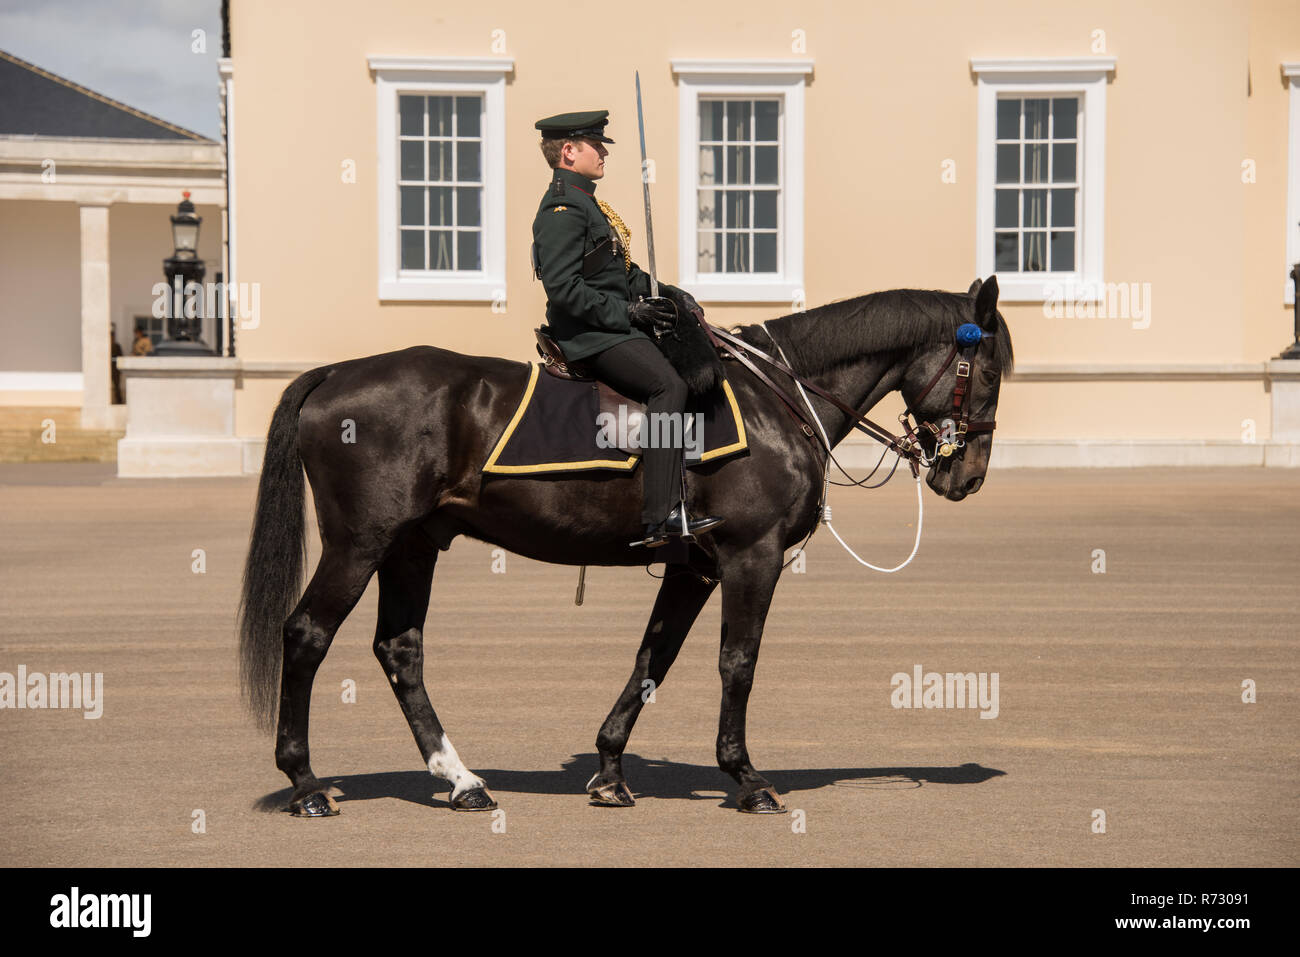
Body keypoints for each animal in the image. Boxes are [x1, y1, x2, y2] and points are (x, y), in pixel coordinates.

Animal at [241, 274, 1013, 816]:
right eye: (991, 368)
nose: (968, 475)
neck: (774, 397)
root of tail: (337, 371)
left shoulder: (694, 567)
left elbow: (653, 659)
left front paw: (611, 769)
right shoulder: (751, 557)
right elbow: (738, 664)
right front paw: (746, 776)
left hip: (410, 547)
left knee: (401, 651)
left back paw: (459, 779)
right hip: (360, 544)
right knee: (307, 634)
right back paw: (305, 781)